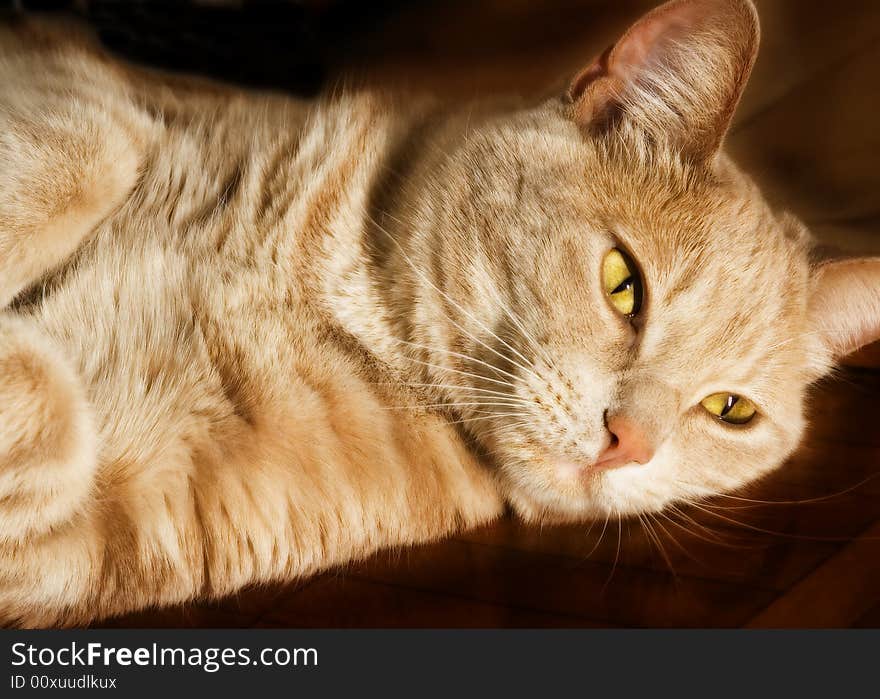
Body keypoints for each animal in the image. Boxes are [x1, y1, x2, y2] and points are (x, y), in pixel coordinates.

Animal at [0, 0, 876, 628]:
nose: (628, 442)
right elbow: (89, 152)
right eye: (625, 284)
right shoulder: (77, 86)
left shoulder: (97, 538)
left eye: (730, 409)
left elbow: (49, 436)